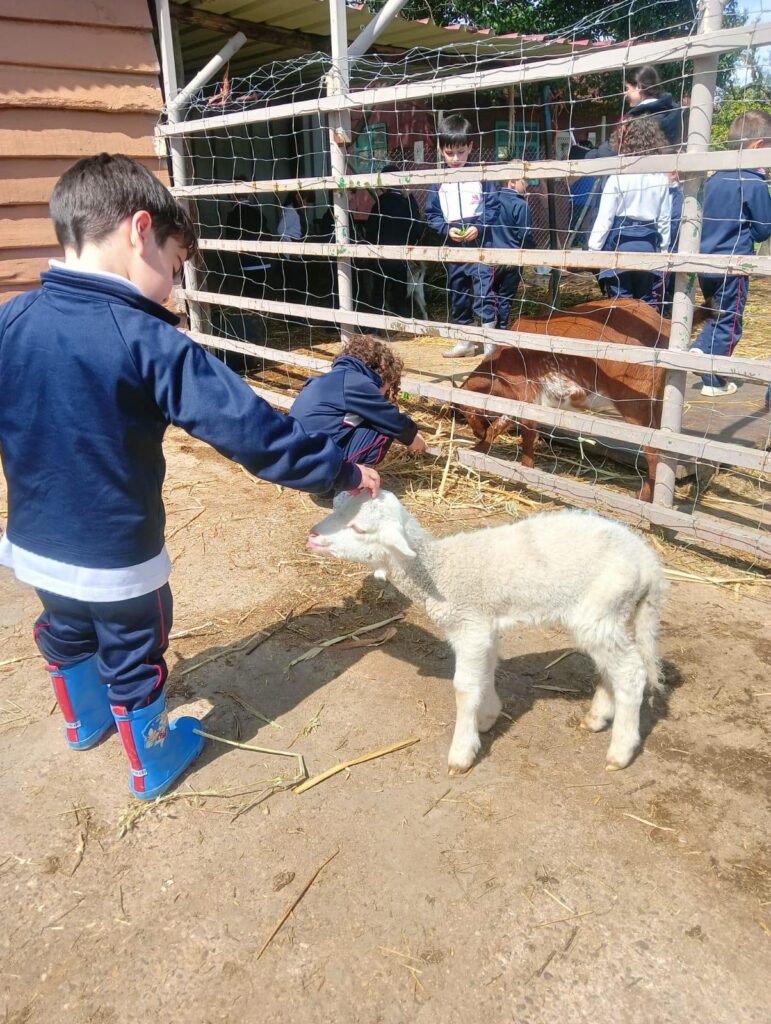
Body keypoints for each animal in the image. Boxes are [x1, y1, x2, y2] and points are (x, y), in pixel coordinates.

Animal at [308, 490, 665, 775]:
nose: (312, 535)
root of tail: (649, 562)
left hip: (601, 608)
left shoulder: (469, 626)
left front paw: (462, 752)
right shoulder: (484, 625)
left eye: (359, 528)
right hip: (608, 615)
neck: (438, 571)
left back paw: (621, 751)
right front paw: (487, 717)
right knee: (614, 666)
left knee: (631, 672)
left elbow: (465, 687)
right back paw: (598, 716)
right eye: (337, 505)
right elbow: (486, 673)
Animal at [459, 299, 671, 501]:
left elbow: (526, 437)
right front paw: (477, 450)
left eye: (466, 411)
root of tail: (663, 325)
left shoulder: (527, 396)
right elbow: (497, 427)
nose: (476, 433)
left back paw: (644, 498)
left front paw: (522, 480)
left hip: (635, 402)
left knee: (654, 451)